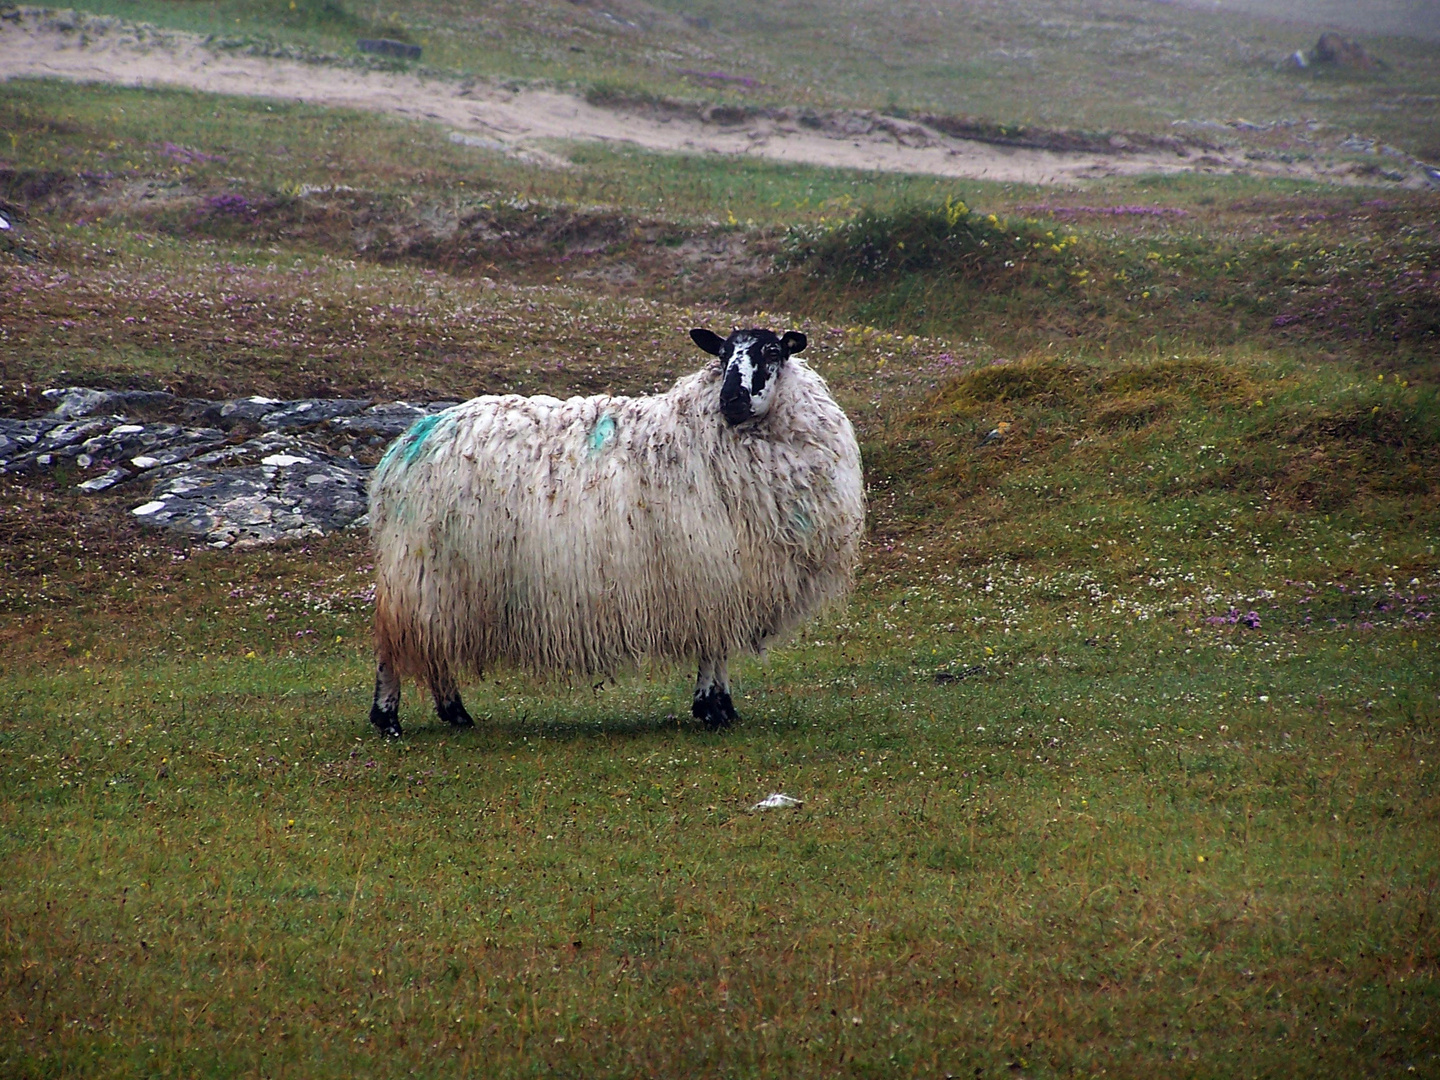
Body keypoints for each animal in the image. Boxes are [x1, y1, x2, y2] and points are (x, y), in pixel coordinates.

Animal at [368, 325, 864, 743]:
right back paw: (389, 718)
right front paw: (713, 707)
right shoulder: (710, 570)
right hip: (425, 567)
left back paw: (454, 713)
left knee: (431, 648)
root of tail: (407, 446)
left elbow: (715, 645)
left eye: (773, 352)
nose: (732, 400)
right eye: (723, 354)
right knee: (395, 646)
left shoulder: (718, 577)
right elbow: (714, 646)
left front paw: (718, 706)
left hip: (442, 579)